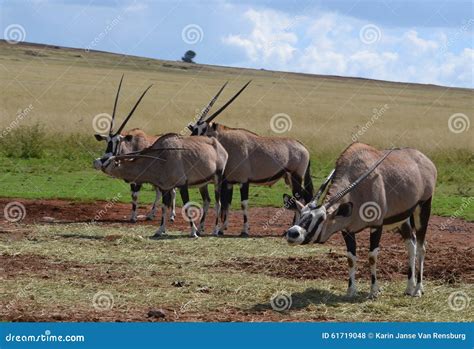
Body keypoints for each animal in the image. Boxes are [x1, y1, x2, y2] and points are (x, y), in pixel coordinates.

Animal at [91, 76, 175, 223]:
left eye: (118, 141)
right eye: (107, 141)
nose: (104, 158)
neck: (133, 146)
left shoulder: (138, 179)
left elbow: (135, 195)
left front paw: (134, 218)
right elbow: (133, 196)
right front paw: (133, 216)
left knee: (173, 192)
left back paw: (171, 216)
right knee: (159, 193)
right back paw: (151, 215)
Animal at [98, 133, 228, 237]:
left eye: (109, 161)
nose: (97, 162)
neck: (161, 158)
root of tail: (218, 145)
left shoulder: (182, 185)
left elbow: (187, 207)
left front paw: (192, 232)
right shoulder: (165, 188)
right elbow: (164, 208)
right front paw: (160, 230)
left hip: (218, 179)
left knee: (218, 203)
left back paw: (215, 230)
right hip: (203, 183)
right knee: (207, 200)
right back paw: (201, 229)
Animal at [187, 81, 312, 237]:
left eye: (202, 130)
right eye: (193, 129)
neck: (228, 144)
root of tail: (304, 147)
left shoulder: (243, 181)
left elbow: (244, 203)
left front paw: (244, 230)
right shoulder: (230, 182)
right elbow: (227, 203)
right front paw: (222, 229)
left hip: (296, 176)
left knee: (299, 198)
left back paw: (294, 226)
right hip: (289, 178)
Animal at [284, 143, 436, 298]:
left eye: (321, 218)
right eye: (301, 214)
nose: (292, 233)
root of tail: (426, 160)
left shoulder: (376, 225)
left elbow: (372, 257)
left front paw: (374, 291)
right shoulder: (347, 230)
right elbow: (351, 258)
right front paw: (351, 290)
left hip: (423, 208)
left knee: (421, 247)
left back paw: (418, 289)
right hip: (403, 219)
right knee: (411, 245)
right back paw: (409, 287)